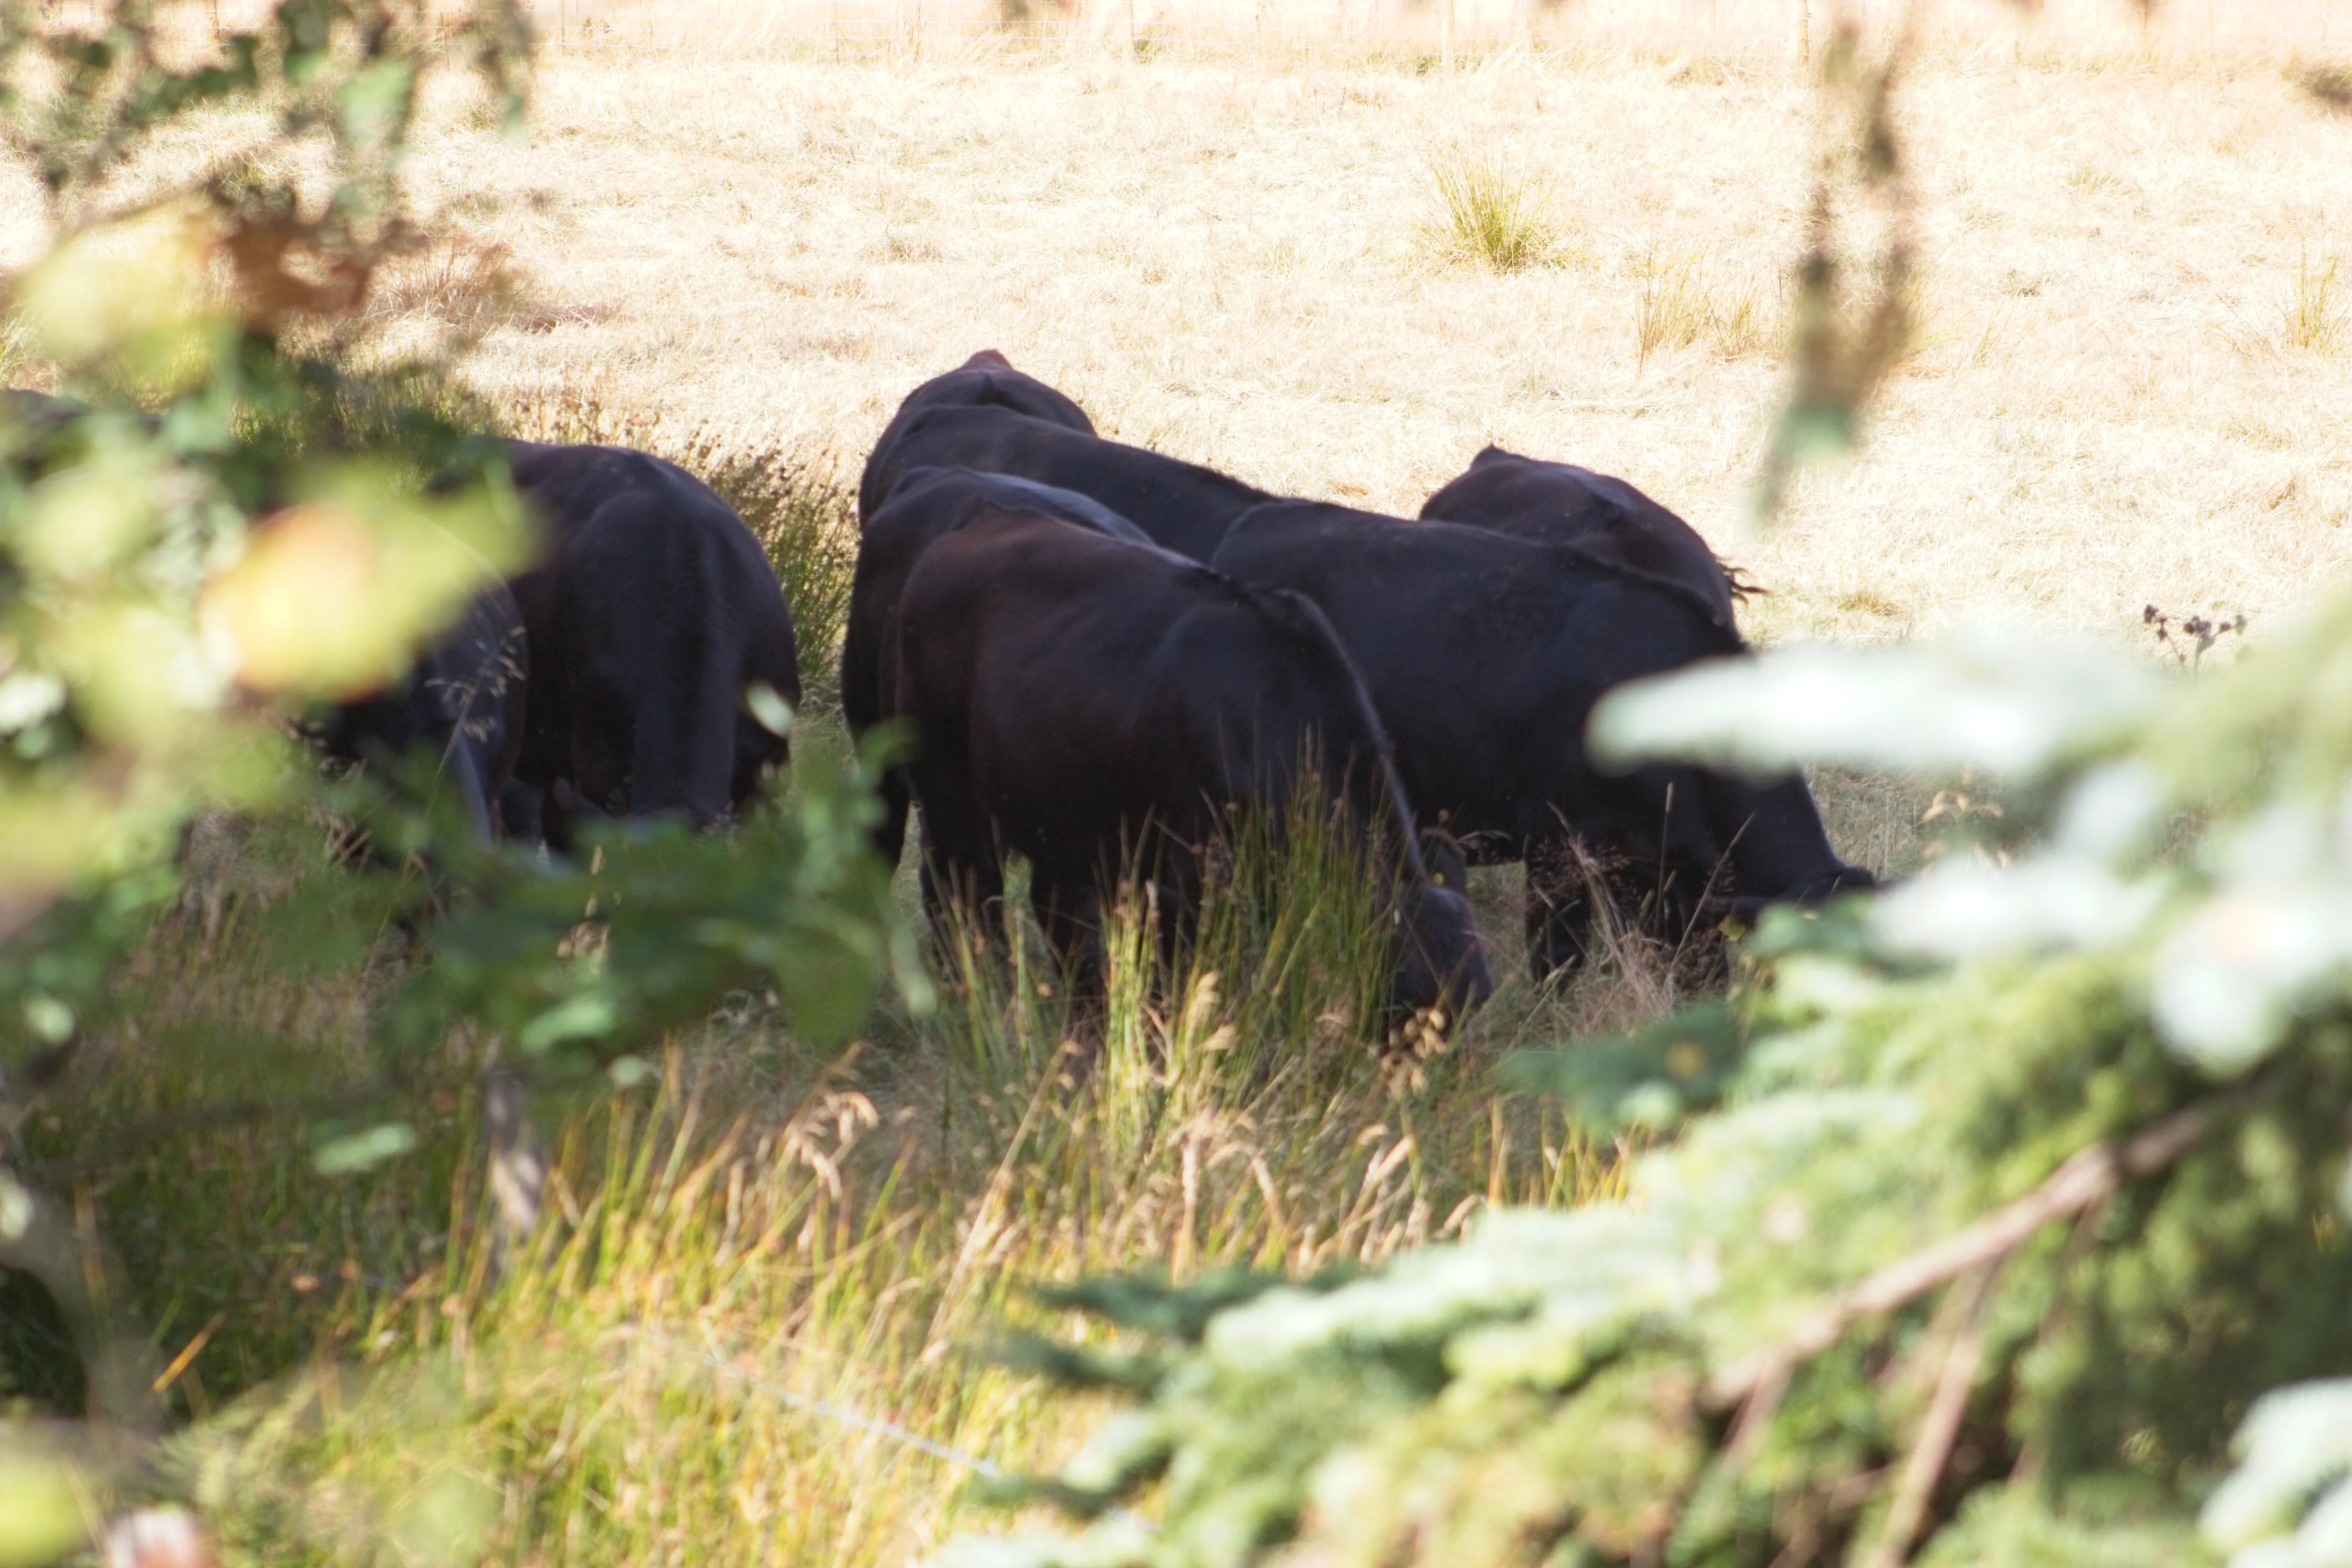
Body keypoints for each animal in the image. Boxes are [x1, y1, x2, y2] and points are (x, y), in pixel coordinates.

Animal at [892, 503, 1492, 1019]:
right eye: (1406, 996)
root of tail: (980, 522)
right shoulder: (1183, 872)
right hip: (948, 791)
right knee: (960, 890)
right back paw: (976, 990)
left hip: (1059, 813)